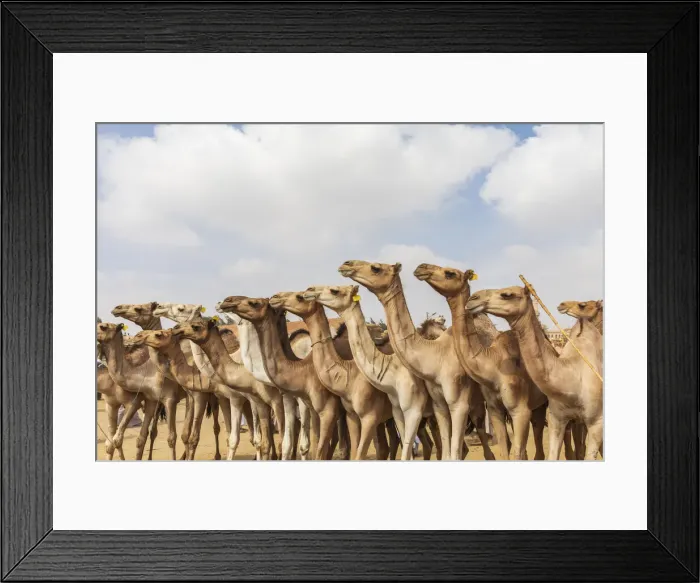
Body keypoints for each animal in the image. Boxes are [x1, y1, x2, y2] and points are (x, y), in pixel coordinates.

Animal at [97, 322, 186, 459]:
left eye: (103, 327)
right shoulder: (111, 404)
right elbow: (112, 443)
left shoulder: (139, 401)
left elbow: (117, 439)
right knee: (154, 430)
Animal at [112, 302, 221, 460]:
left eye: (138, 308)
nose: (117, 308)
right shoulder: (155, 399)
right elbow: (152, 432)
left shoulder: (176, 398)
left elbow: (182, 434)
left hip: (211, 396)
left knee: (215, 425)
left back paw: (216, 455)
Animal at [130, 328, 253, 460]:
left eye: (159, 334)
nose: (138, 336)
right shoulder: (177, 397)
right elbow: (168, 432)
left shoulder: (196, 396)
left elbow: (191, 435)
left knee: (218, 426)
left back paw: (217, 454)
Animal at [220, 296, 342, 460]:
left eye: (254, 303)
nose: (227, 301)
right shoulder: (284, 398)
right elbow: (283, 442)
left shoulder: (296, 400)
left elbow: (301, 443)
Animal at [413, 264, 548, 460]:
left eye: (449, 273)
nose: (421, 267)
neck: (493, 364)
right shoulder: (493, 408)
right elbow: (506, 449)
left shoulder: (520, 408)